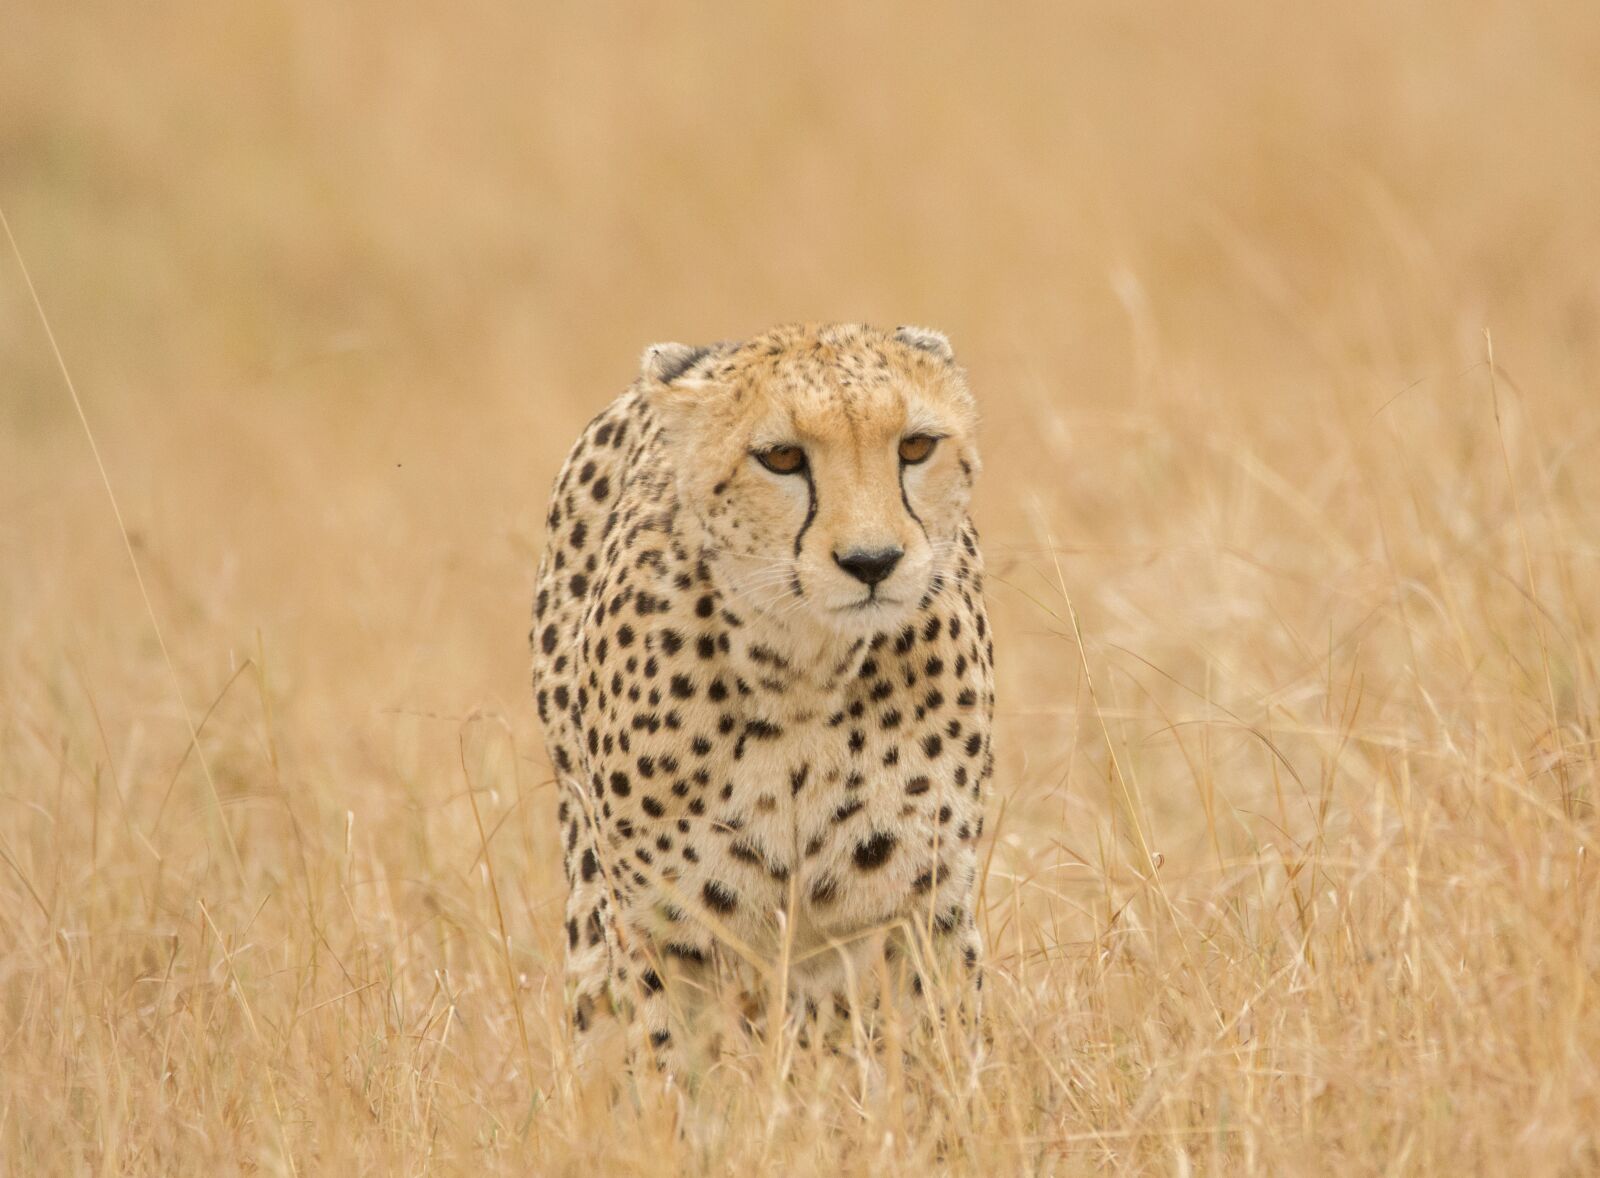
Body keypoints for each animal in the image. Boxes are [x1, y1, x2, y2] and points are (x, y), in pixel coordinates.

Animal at [530, 322, 995, 1072]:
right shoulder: (663, 926)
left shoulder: (926, 899)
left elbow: (940, 1041)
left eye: (916, 447)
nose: (872, 562)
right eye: (781, 458)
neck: (806, 670)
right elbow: (670, 1064)